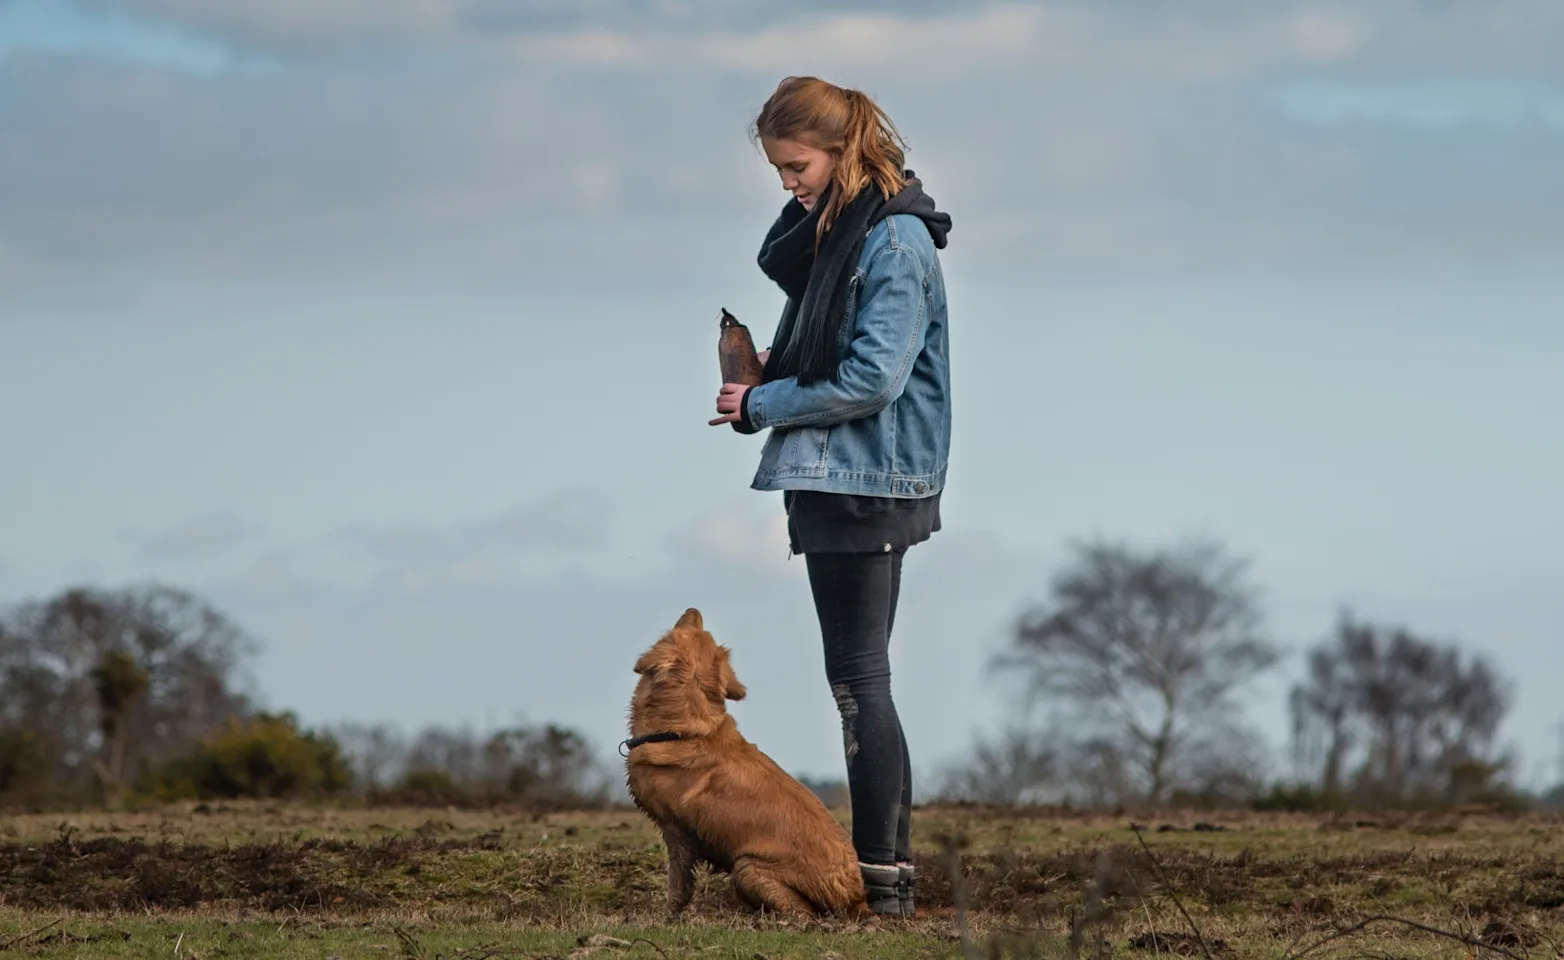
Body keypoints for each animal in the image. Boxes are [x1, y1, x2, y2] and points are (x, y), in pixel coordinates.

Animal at [622, 609, 869, 919]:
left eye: (683, 629)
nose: (694, 610)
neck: (683, 730)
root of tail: (858, 898)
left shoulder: (676, 830)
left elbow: (677, 883)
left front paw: (666, 916)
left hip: (746, 867)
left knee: (805, 913)